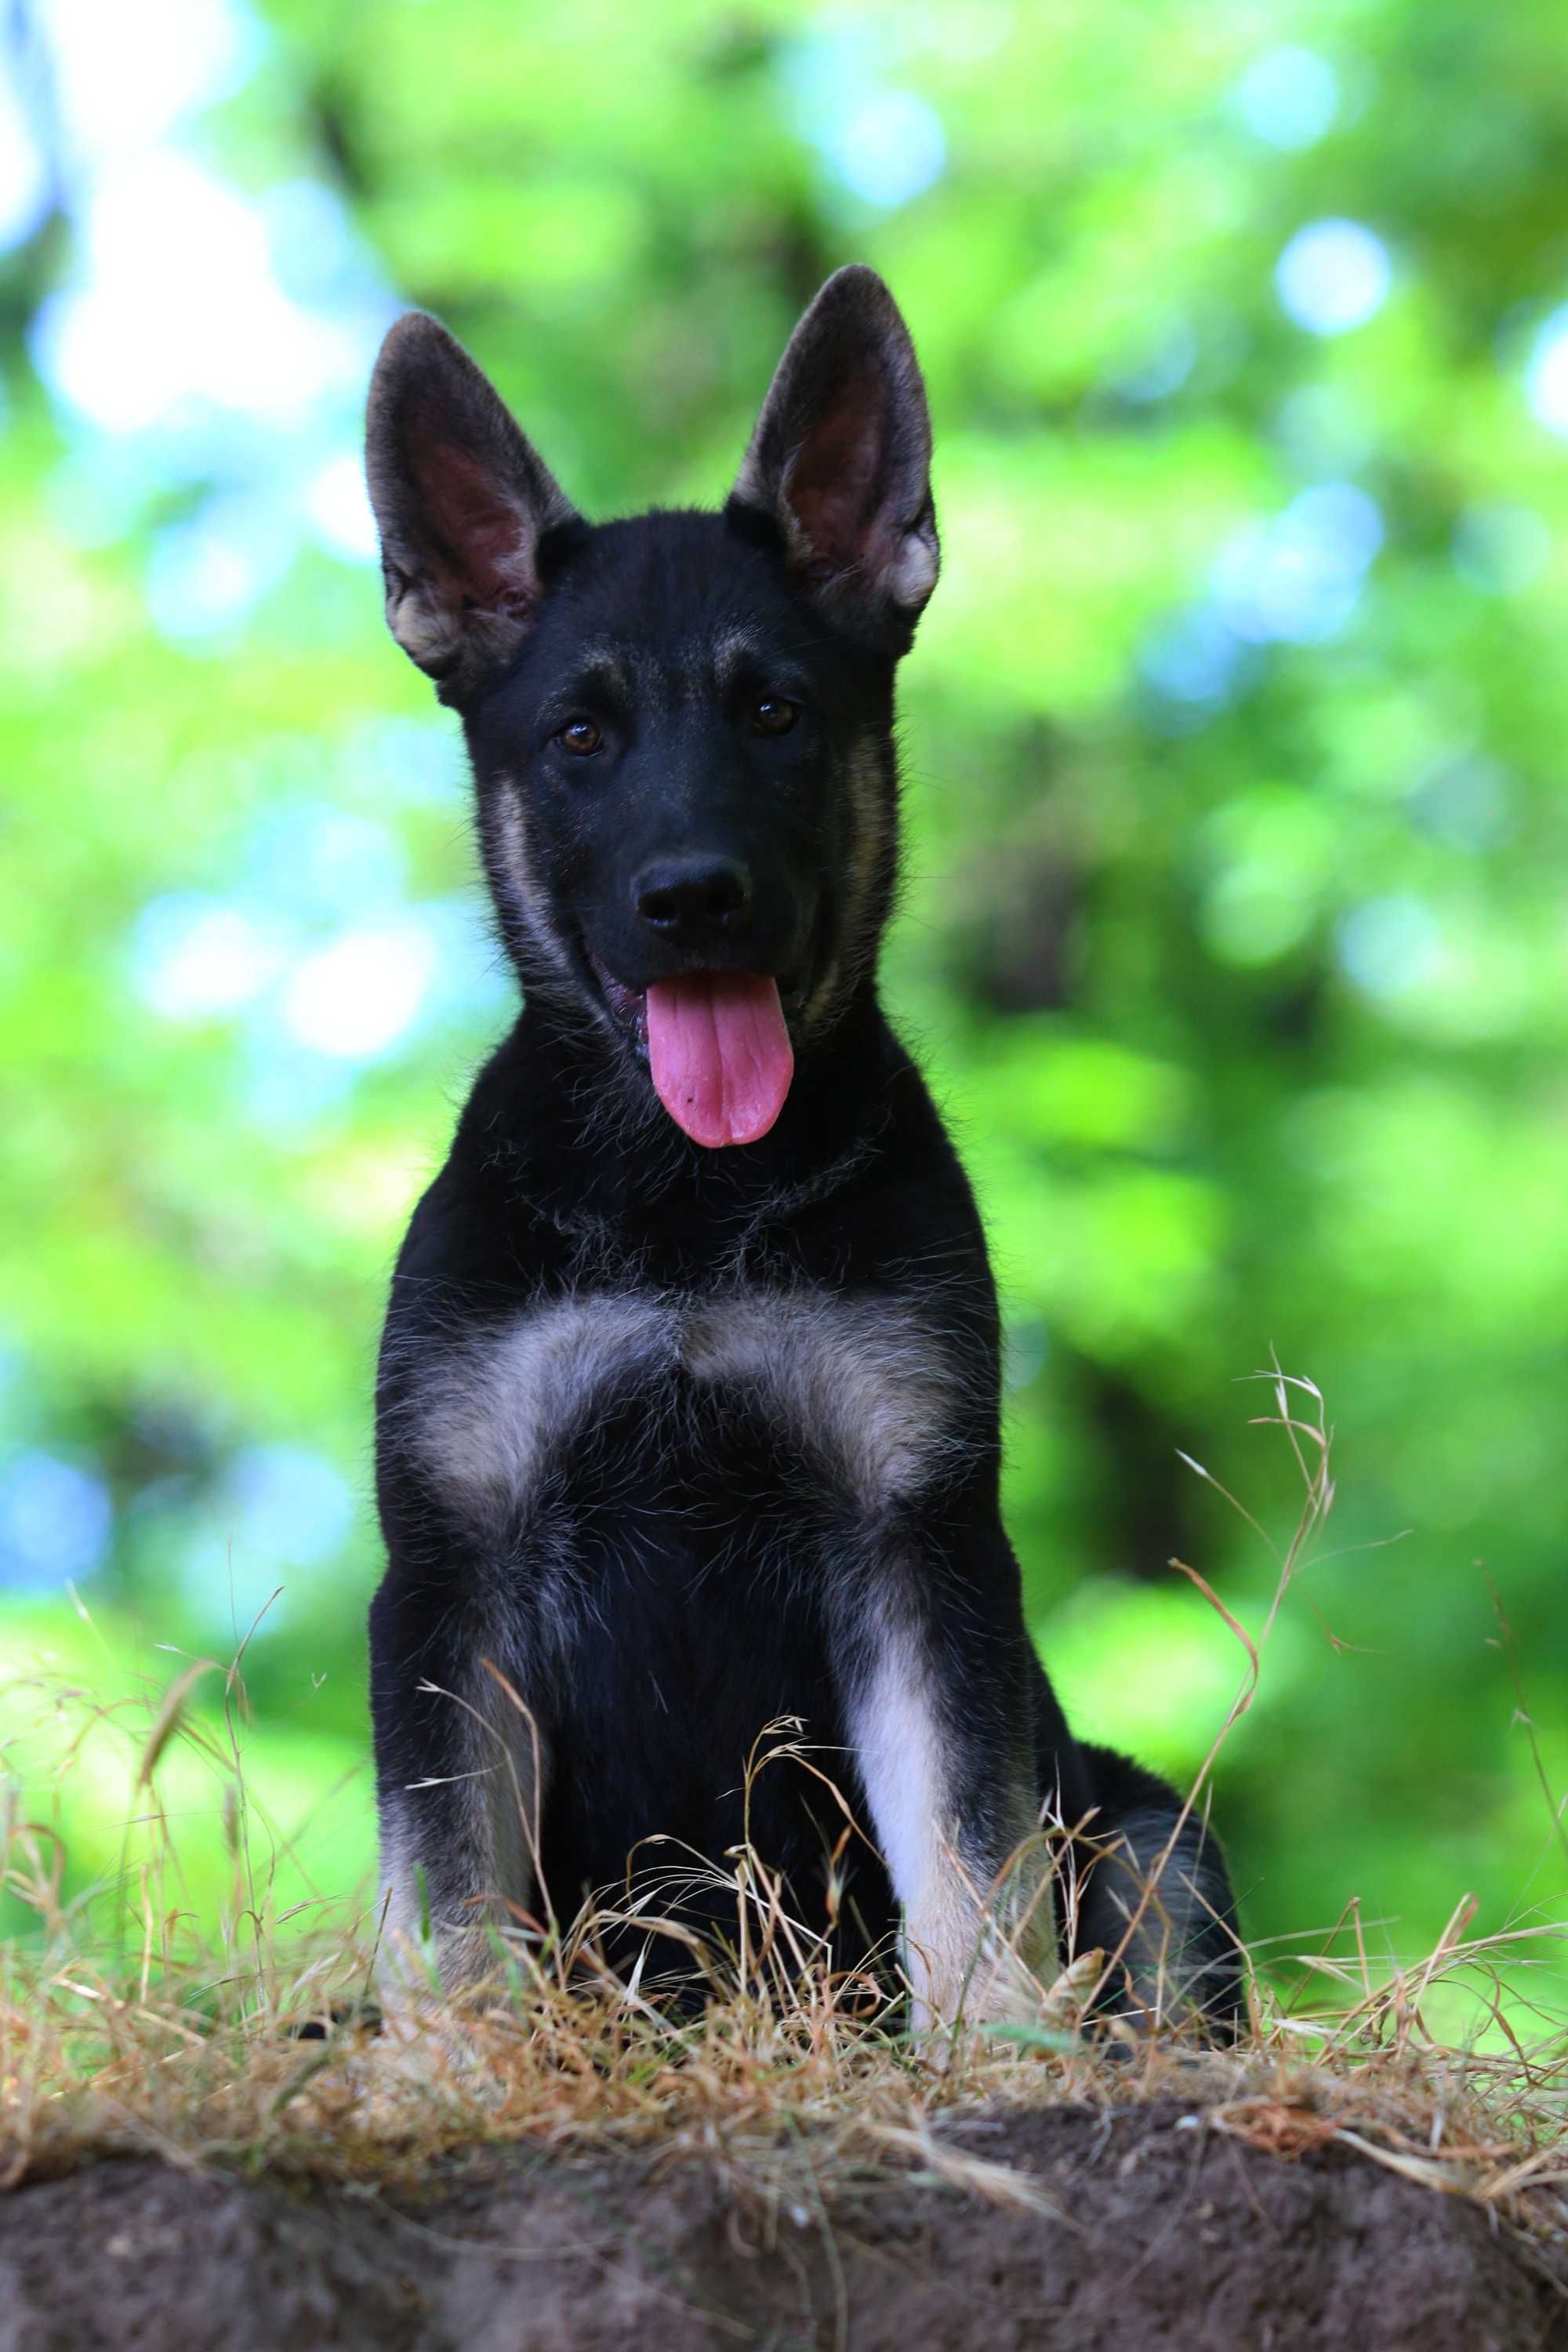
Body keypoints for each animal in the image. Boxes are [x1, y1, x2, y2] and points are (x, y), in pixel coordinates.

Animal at [361, 252, 1241, 2023]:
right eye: (579, 737)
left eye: (774, 711)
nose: (693, 897)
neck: (686, 1203)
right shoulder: (446, 1579)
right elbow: (450, 1916)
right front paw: (451, 2064)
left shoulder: (917, 1553)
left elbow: (968, 1869)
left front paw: (999, 2059)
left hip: (1155, 1835)